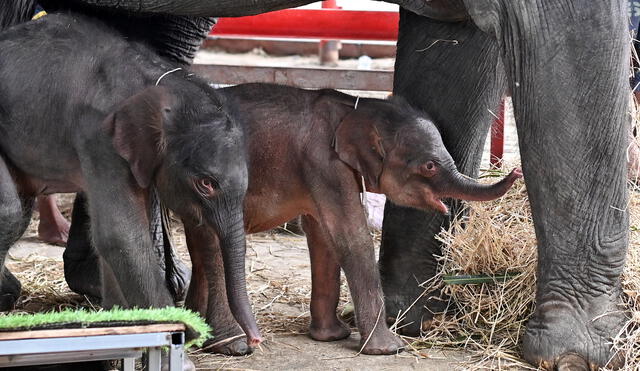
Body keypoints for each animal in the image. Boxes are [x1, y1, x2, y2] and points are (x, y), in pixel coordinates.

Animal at [184, 83, 520, 356]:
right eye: (429, 166)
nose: (516, 171)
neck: (356, 107)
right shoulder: (324, 163)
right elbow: (350, 235)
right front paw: (389, 349)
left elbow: (322, 235)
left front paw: (332, 337)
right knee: (212, 247)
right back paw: (231, 346)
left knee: (200, 249)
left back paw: (192, 335)